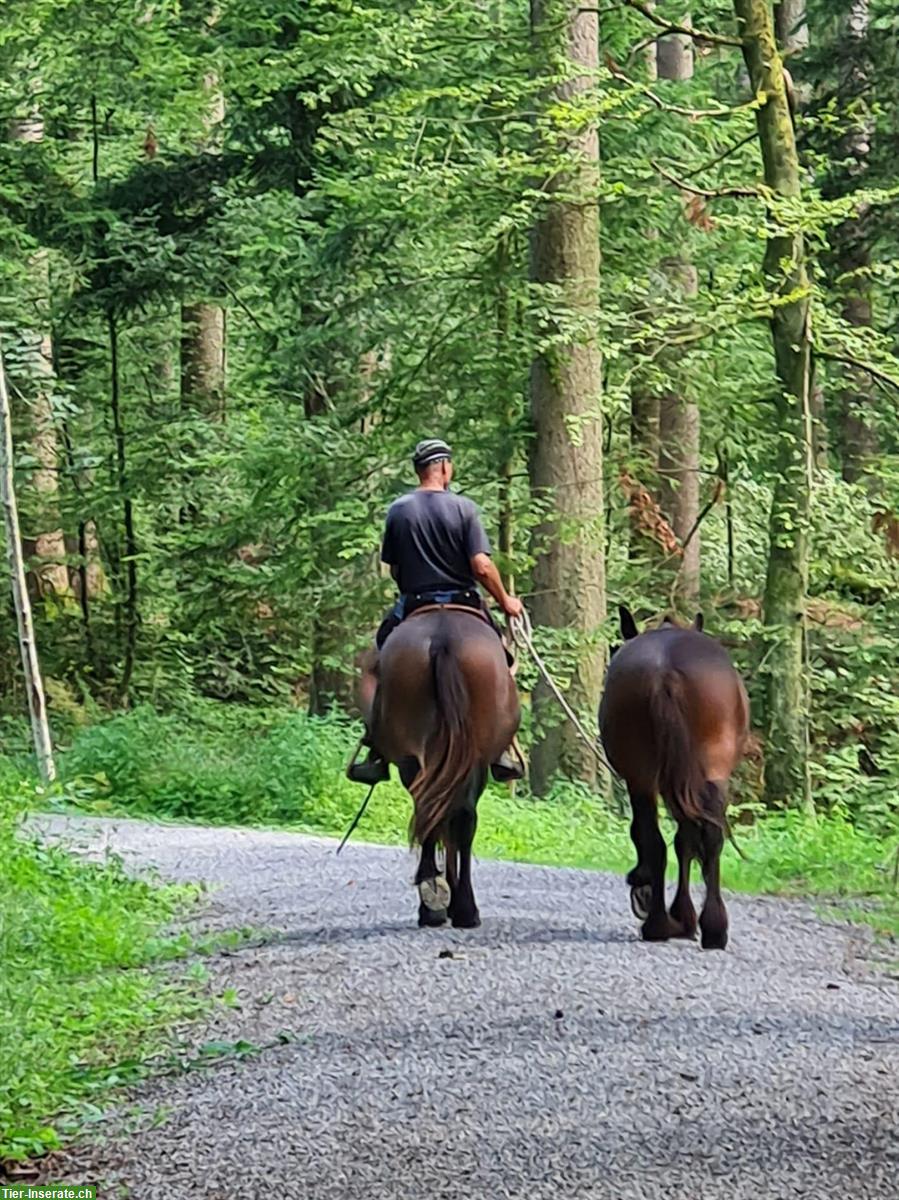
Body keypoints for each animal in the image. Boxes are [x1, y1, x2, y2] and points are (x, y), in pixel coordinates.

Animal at [364, 609, 518, 926]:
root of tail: (442, 641)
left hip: (417, 757)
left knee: (434, 811)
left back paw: (436, 900)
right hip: (469, 758)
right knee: (460, 818)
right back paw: (460, 908)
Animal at [595, 604, 748, 950]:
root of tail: (666, 673)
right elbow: (686, 840)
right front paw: (684, 915)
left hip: (645, 777)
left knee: (656, 838)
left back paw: (659, 923)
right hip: (710, 771)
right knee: (708, 836)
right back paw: (712, 927)